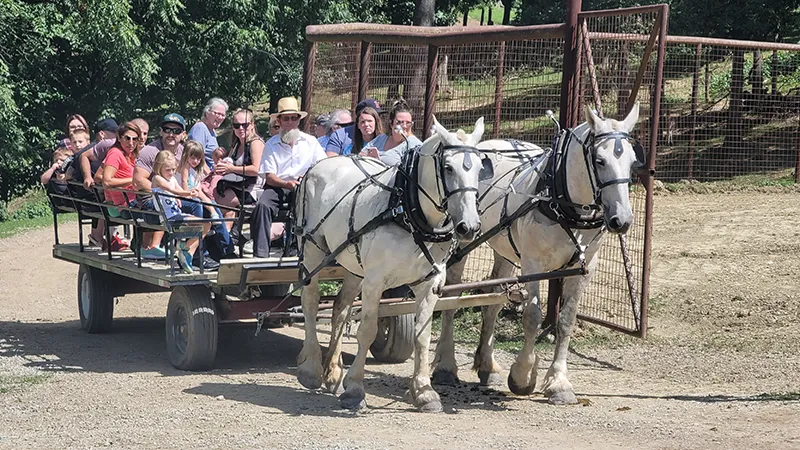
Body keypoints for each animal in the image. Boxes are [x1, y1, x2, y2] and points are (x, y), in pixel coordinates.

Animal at [296, 117, 488, 412]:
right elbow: (367, 330)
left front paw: (424, 392)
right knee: (310, 301)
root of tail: (322, 164)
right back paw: (311, 369)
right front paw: (355, 388)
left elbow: (422, 336)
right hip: (313, 251)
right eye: (448, 167)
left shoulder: (429, 284)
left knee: (340, 308)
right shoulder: (375, 281)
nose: (469, 226)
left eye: (479, 167)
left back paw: (333, 372)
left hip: (353, 264)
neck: (408, 210)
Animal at [432, 104, 644, 404]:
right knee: (451, 297)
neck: (561, 200)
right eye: (600, 161)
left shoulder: (584, 268)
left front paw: (559, 383)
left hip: (506, 251)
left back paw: (487, 366)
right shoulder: (533, 264)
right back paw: (446, 366)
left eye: (632, 162)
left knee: (491, 302)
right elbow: (532, 317)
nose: (622, 220)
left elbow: (566, 321)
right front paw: (522, 376)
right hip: (463, 241)